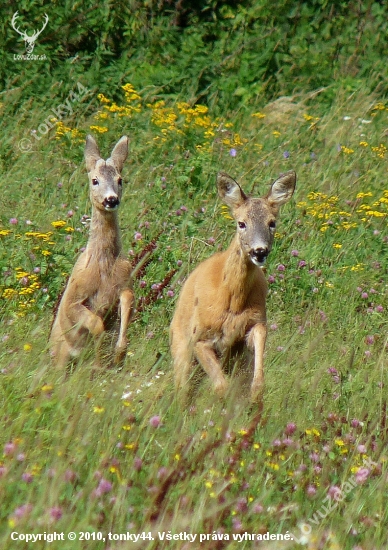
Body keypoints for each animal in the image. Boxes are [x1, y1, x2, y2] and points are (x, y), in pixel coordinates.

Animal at [49, 135, 134, 370]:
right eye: (95, 180)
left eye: (120, 179)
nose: (111, 199)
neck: (103, 265)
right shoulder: (74, 298)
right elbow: (96, 323)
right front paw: (97, 360)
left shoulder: (124, 283)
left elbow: (128, 300)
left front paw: (118, 353)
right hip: (59, 355)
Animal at [171, 170, 298, 404]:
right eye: (241, 223)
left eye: (272, 222)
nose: (259, 251)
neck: (233, 300)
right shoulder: (200, 337)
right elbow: (222, 386)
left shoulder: (256, 324)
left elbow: (257, 383)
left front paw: (254, 400)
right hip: (181, 347)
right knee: (183, 390)